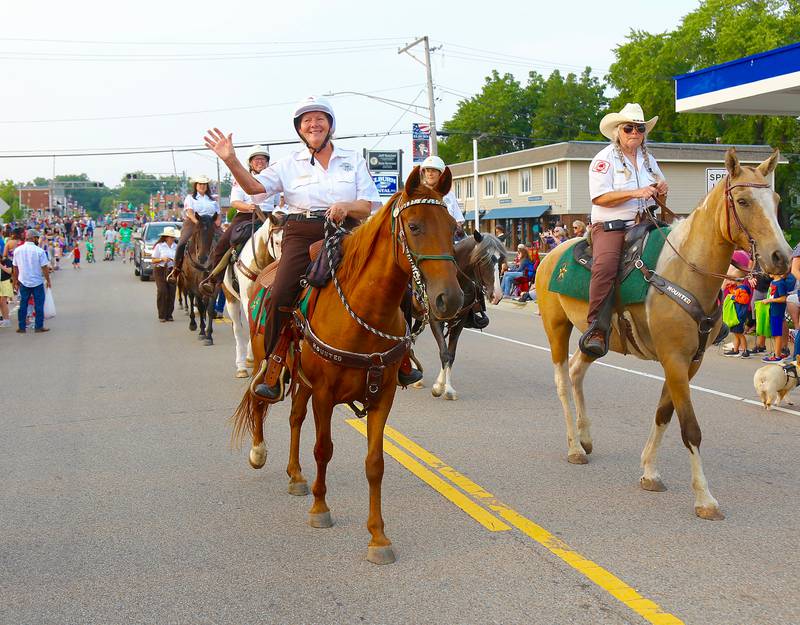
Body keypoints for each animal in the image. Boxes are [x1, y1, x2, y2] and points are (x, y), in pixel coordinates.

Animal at [181, 212, 219, 344]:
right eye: (197, 231)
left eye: (213, 232)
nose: (203, 258)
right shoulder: (195, 285)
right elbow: (201, 306)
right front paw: (202, 332)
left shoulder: (215, 285)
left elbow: (210, 308)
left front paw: (209, 334)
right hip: (188, 284)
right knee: (192, 299)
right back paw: (193, 323)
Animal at [424, 230, 500, 400]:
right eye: (483, 259)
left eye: (501, 260)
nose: (497, 295)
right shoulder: (435, 319)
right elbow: (444, 352)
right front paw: (438, 387)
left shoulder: (459, 321)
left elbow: (450, 354)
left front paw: (448, 388)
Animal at [536, 149, 792, 520]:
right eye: (743, 201)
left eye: (776, 201)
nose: (781, 257)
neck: (685, 270)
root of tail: (549, 256)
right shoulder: (673, 360)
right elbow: (690, 428)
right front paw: (705, 499)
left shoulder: (690, 362)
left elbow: (663, 415)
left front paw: (649, 473)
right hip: (557, 326)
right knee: (561, 381)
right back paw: (574, 448)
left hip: (595, 338)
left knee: (576, 371)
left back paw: (585, 438)